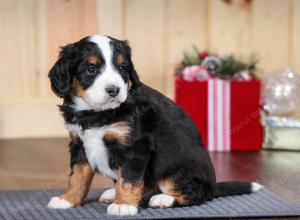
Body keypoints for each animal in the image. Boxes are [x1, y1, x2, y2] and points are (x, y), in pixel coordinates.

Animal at [47, 35, 262, 216]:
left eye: (122, 68)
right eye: (91, 69)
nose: (114, 90)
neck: (96, 113)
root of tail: (213, 186)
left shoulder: (135, 147)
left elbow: (129, 179)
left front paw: (124, 205)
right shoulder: (79, 144)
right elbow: (78, 176)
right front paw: (68, 199)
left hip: (178, 173)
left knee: (195, 194)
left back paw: (163, 199)